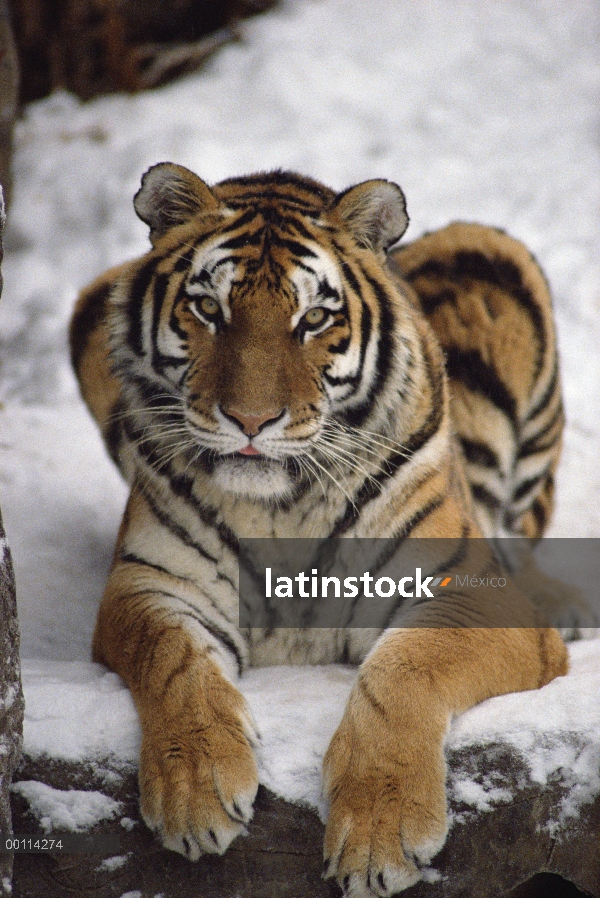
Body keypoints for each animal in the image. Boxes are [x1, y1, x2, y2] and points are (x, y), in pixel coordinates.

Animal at [70, 163, 568, 896]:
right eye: (209, 309)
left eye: (313, 319)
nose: (251, 421)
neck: (282, 505)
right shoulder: (152, 583)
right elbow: (172, 658)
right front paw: (195, 792)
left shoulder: (474, 593)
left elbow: (408, 667)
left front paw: (380, 835)